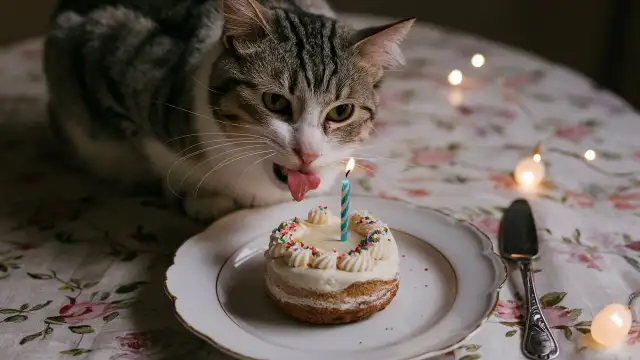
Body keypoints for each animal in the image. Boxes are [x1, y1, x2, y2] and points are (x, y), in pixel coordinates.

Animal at [43, 0, 416, 221]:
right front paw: (200, 196)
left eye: (341, 112)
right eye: (275, 102)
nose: (307, 154)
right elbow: (150, 151)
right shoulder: (108, 58)